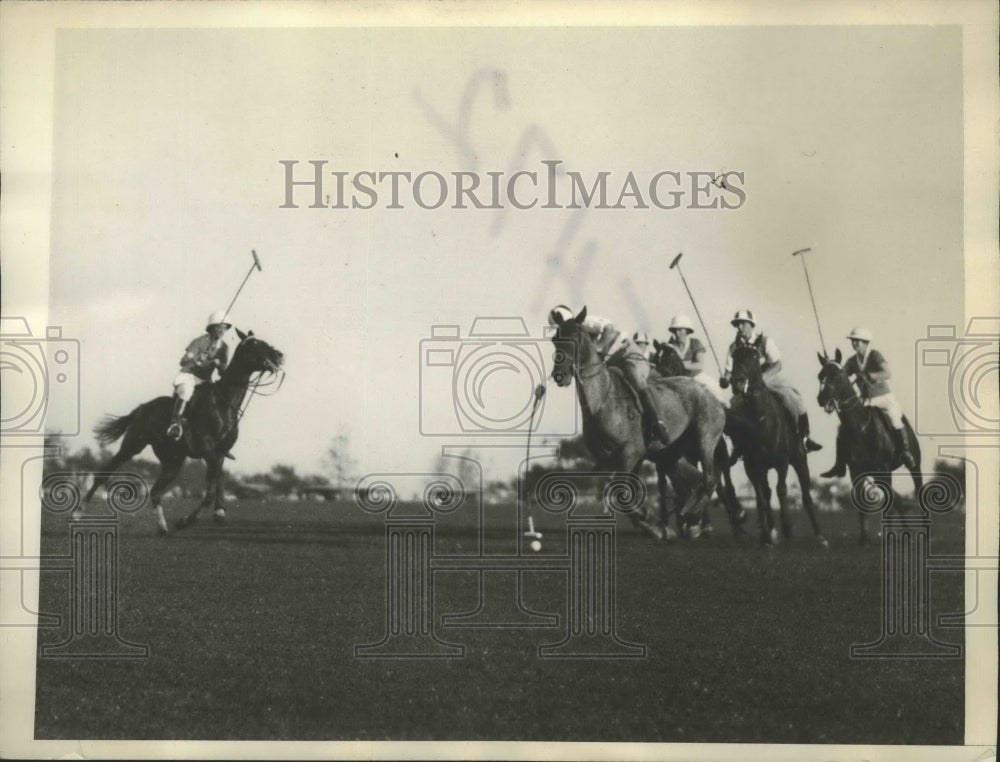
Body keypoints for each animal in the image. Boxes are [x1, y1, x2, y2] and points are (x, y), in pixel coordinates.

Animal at [75, 328, 282, 536]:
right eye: (254, 343)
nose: (279, 355)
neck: (224, 404)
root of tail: (142, 408)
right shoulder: (207, 448)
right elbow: (211, 488)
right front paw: (186, 520)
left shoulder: (220, 452)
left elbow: (217, 479)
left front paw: (219, 512)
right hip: (132, 445)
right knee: (104, 473)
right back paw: (78, 512)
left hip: (172, 460)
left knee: (155, 491)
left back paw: (163, 528)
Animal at [548, 306, 736, 536]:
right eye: (555, 339)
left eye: (575, 337)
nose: (560, 375)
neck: (603, 401)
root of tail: (712, 396)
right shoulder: (606, 457)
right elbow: (615, 488)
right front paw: (649, 521)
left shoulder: (632, 452)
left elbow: (621, 490)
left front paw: (649, 521)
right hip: (673, 453)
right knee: (693, 480)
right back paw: (686, 519)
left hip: (705, 442)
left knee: (709, 479)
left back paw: (692, 518)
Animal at [728, 342, 828, 544]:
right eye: (734, 356)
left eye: (753, 356)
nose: (737, 382)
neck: (759, 420)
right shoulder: (752, 465)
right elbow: (760, 497)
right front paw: (766, 536)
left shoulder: (782, 460)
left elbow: (781, 490)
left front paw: (788, 527)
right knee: (767, 493)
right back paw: (772, 529)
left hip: (799, 459)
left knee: (806, 495)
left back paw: (819, 534)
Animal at [816, 348, 924, 544]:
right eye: (820, 375)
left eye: (838, 375)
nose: (822, 398)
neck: (860, 427)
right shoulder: (857, 472)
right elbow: (862, 505)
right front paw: (864, 540)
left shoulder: (885, 469)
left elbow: (888, 504)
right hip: (876, 474)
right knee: (898, 499)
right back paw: (906, 532)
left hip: (914, 467)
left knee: (916, 493)